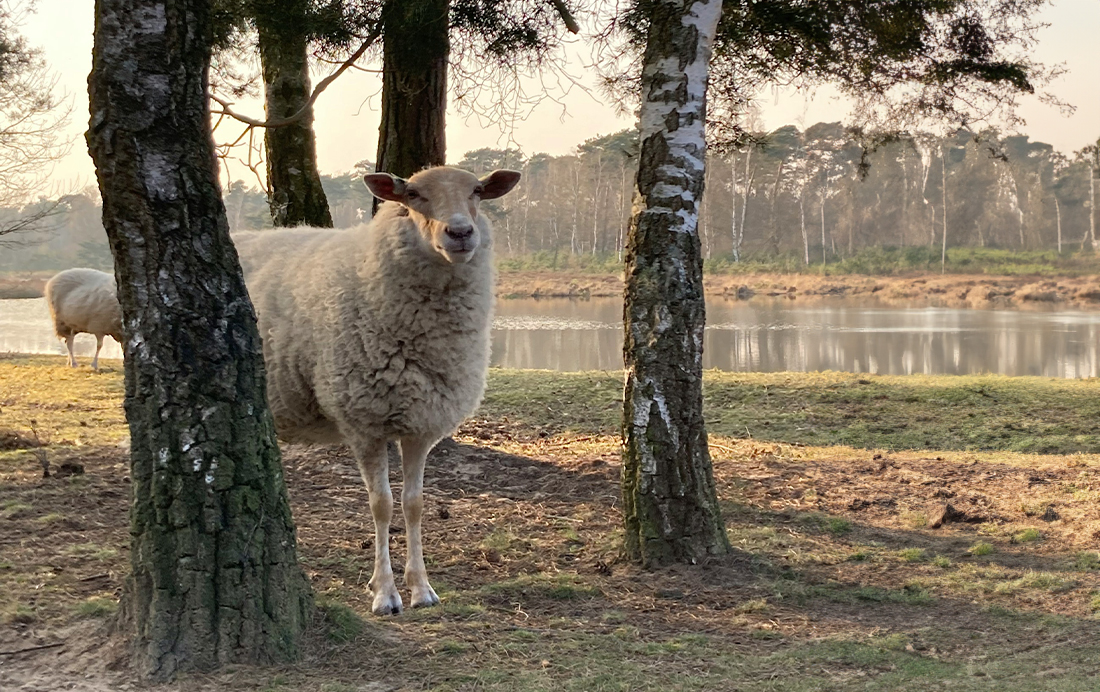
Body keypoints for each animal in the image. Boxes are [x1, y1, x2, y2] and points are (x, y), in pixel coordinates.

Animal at [233, 165, 523, 611]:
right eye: (414, 194)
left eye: (477, 191)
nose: (460, 232)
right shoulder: (363, 422)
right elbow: (381, 505)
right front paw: (385, 592)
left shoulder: (421, 423)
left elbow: (414, 505)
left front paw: (421, 588)